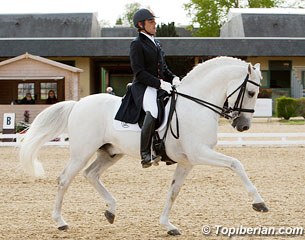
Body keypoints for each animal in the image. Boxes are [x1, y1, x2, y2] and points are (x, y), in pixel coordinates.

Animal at [19, 56, 266, 236]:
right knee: (64, 179)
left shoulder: (187, 161)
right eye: (251, 92)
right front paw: (259, 202)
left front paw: (168, 225)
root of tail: (78, 104)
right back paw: (60, 222)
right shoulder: (200, 153)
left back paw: (111, 210)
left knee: (91, 174)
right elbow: (236, 164)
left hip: (110, 153)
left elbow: (173, 191)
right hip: (82, 152)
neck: (196, 106)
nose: (243, 126)